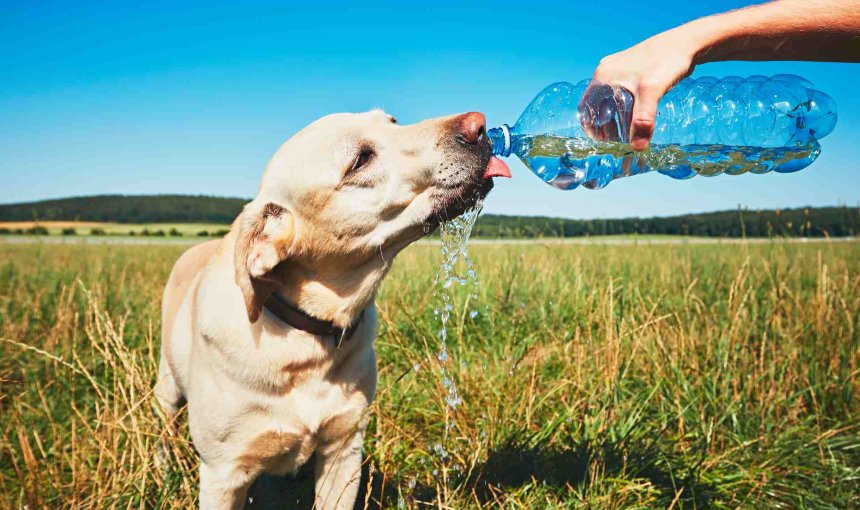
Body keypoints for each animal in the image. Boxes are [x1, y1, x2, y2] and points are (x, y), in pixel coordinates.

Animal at [153, 111, 510, 510]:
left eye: (392, 121)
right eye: (359, 160)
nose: (479, 125)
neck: (306, 338)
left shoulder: (344, 451)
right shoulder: (223, 475)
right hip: (167, 387)